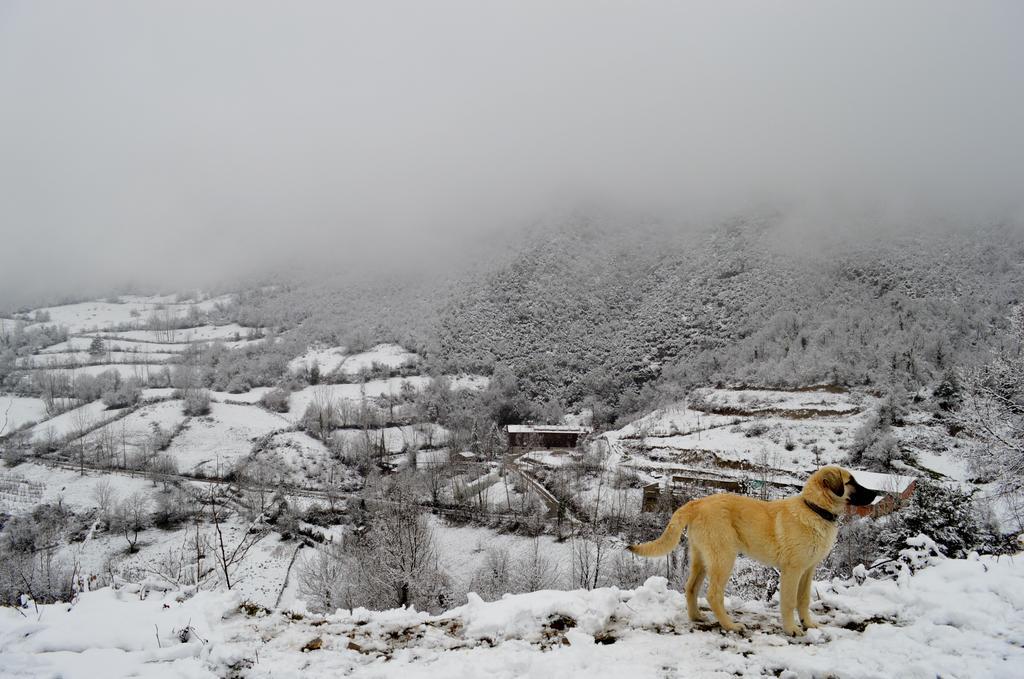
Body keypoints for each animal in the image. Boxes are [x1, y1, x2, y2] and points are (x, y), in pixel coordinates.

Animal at [626, 464, 876, 634]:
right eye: (851, 482)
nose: (876, 493)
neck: (814, 509)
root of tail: (696, 502)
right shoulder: (792, 570)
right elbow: (789, 602)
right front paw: (792, 629)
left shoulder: (808, 570)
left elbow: (803, 599)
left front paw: (808, 623)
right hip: (723, 557)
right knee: (713, 594)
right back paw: (730, 625)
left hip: (702, 558)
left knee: (690, 588)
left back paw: (696, 617)